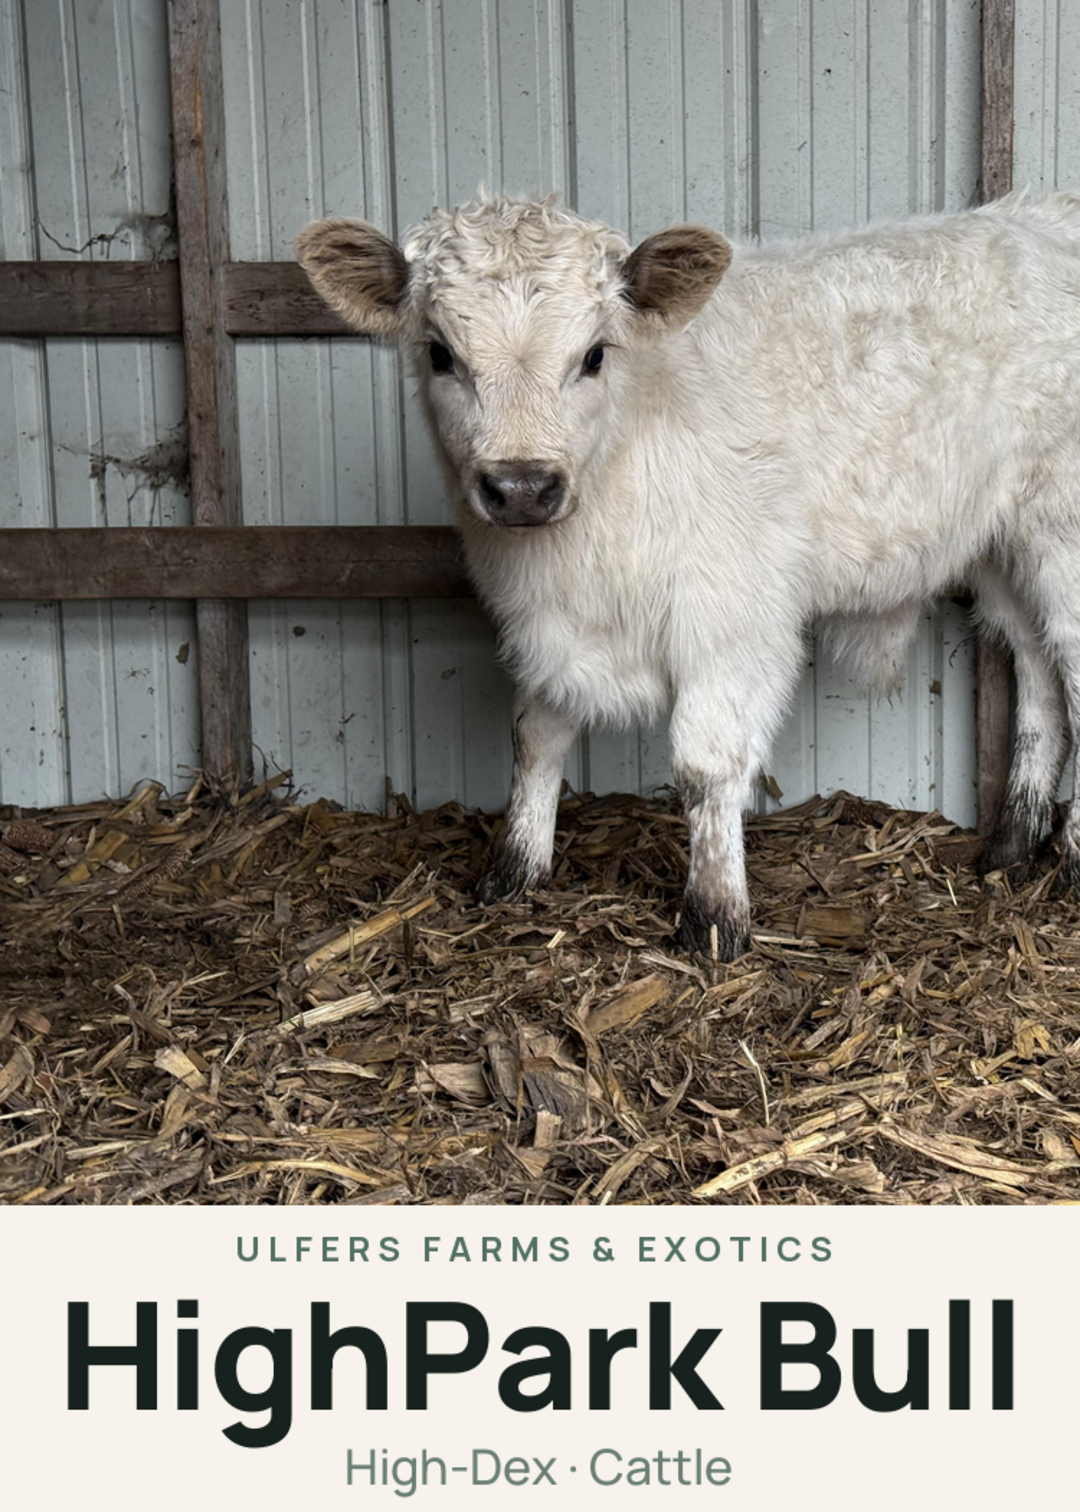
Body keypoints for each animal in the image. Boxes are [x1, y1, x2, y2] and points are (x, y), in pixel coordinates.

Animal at [296, 190, 1080, 960]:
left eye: (594, 354)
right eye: (440, 354)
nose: (522, 487)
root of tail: (1042, 210)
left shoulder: (731, 621)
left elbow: (706, 768)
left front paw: (714, 917)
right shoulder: (548, 628)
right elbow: (533, 735)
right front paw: (514, 873)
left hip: (1061, 533)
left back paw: (1067, 855)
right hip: (1002, 548)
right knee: (1039, 669)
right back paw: (1011, 845)